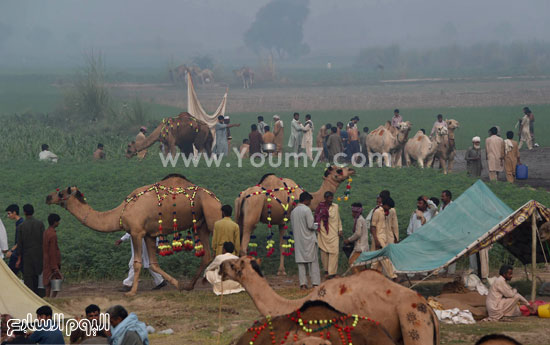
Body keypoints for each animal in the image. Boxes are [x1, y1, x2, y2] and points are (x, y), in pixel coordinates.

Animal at [45, 175, 222, 296]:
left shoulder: (137, 232)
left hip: (213, 215)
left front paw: (131, 292)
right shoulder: (149, 234)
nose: (47, 197)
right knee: (207, 254)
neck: (121, 212)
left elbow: (137, 263)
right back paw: (191, 285)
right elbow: (153, 264)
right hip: (202, 225)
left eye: (61, 193)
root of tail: (217, 199)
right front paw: (179, 285)